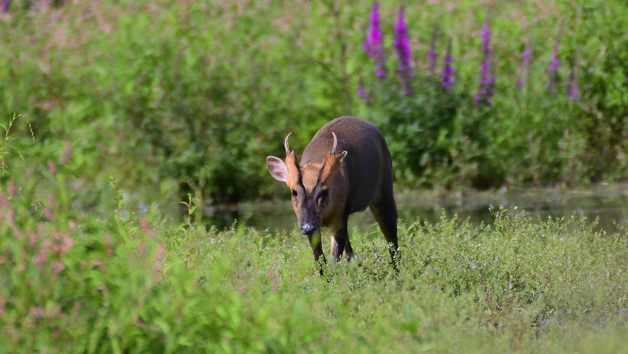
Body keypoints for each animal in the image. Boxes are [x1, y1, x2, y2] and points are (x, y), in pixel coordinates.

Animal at [264, 116, 398, 272]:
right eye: (294, 192)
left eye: (325, 191)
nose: (307, 227)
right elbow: (320, 259)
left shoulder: (339, 217)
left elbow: (334, 259)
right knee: (350, 252)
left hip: (384, 190)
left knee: (393, 241)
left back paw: (396, 272)